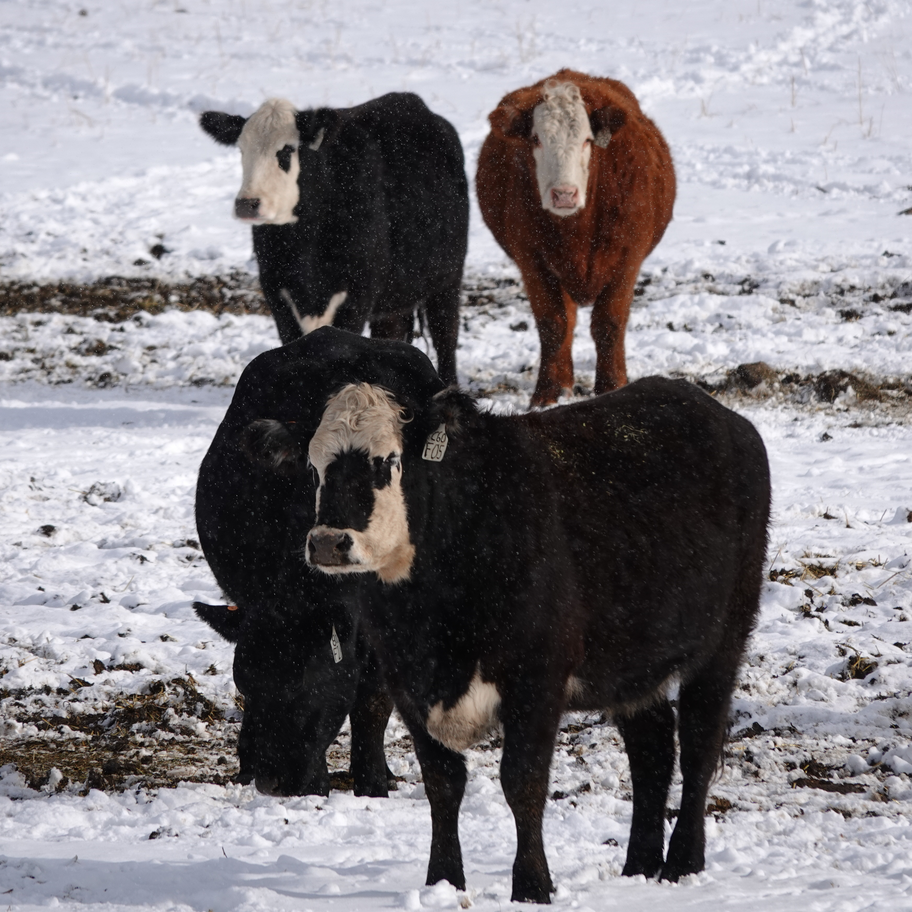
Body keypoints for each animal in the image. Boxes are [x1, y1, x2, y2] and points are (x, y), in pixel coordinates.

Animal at [199, 92, 469, 384]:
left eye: (287, 150)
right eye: (241, 150)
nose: (247, 204)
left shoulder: (357, 295)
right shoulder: (276, 291)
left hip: (448, 278)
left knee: (446, 338)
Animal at [287, 328, 769, 903]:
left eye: (386, 462)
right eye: (314, 467)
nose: (326, 542)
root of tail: (723, 416)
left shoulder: (537, 679)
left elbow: (523, 781)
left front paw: (533, 886)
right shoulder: (407, 679)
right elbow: (442, 784)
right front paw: (443, 881)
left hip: (724, 641)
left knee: (699, 742)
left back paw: (683, 862)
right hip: (634, 659)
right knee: (651, 748)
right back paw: (638, 865)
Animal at [476, 69, 676, 406]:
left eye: (587, 140)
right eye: (536, 139)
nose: (564, 194)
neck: (578, 231)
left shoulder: (628, 257)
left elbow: (609, 323)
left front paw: (612, 387)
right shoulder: (531, 260)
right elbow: (553, 325)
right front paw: (545, 394)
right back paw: (565, 384)